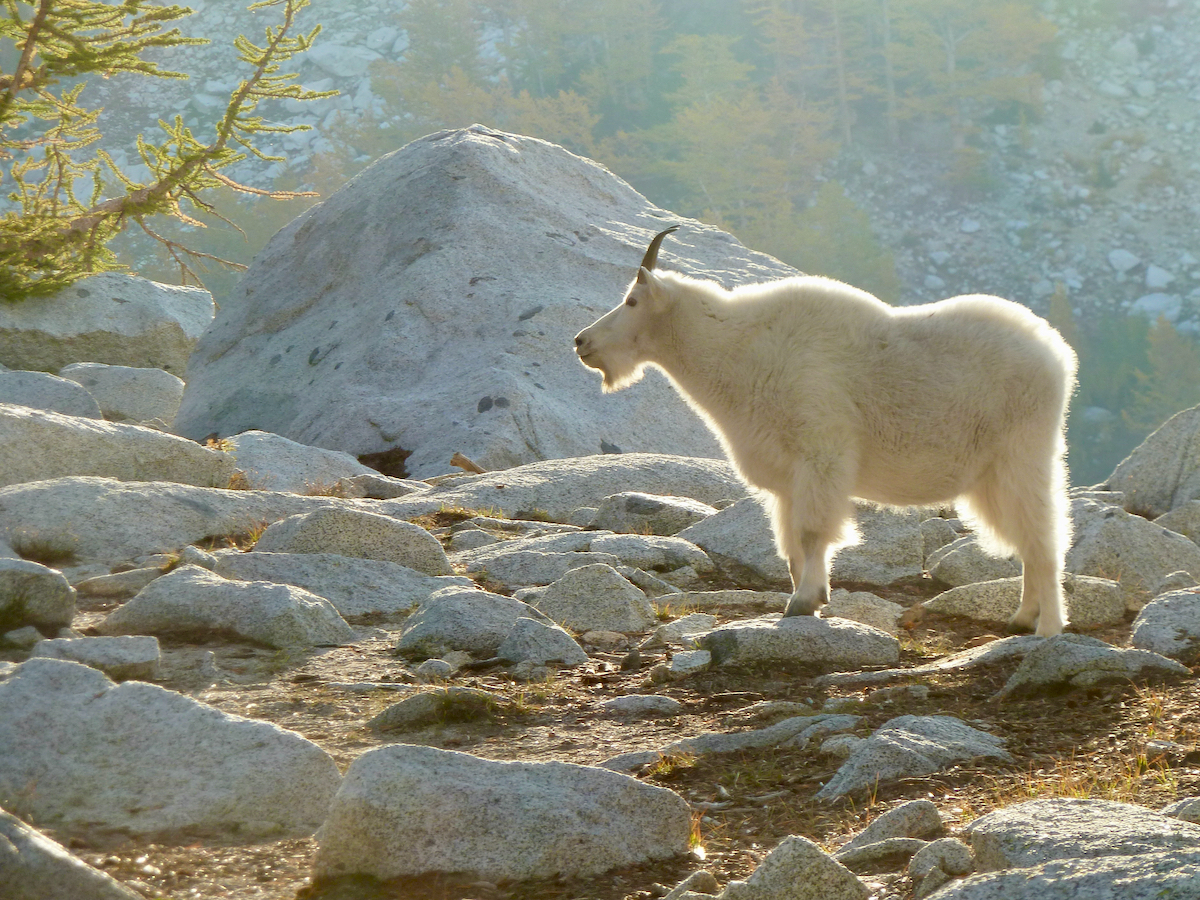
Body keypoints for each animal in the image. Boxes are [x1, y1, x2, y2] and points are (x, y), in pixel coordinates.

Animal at [573, 229, 1080, 638]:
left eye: (632, 301)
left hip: (1023, 454)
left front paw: (806, 601)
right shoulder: (785, 477)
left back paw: (1049, 628)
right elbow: (790, 545)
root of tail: (1057, 354)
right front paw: (806, 600)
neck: (737, 349)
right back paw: (1022, 618)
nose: (582, 342)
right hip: (991, 476)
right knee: (1028, 540)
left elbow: (814, 532)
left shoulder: (821, 453)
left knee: (1045, 537)